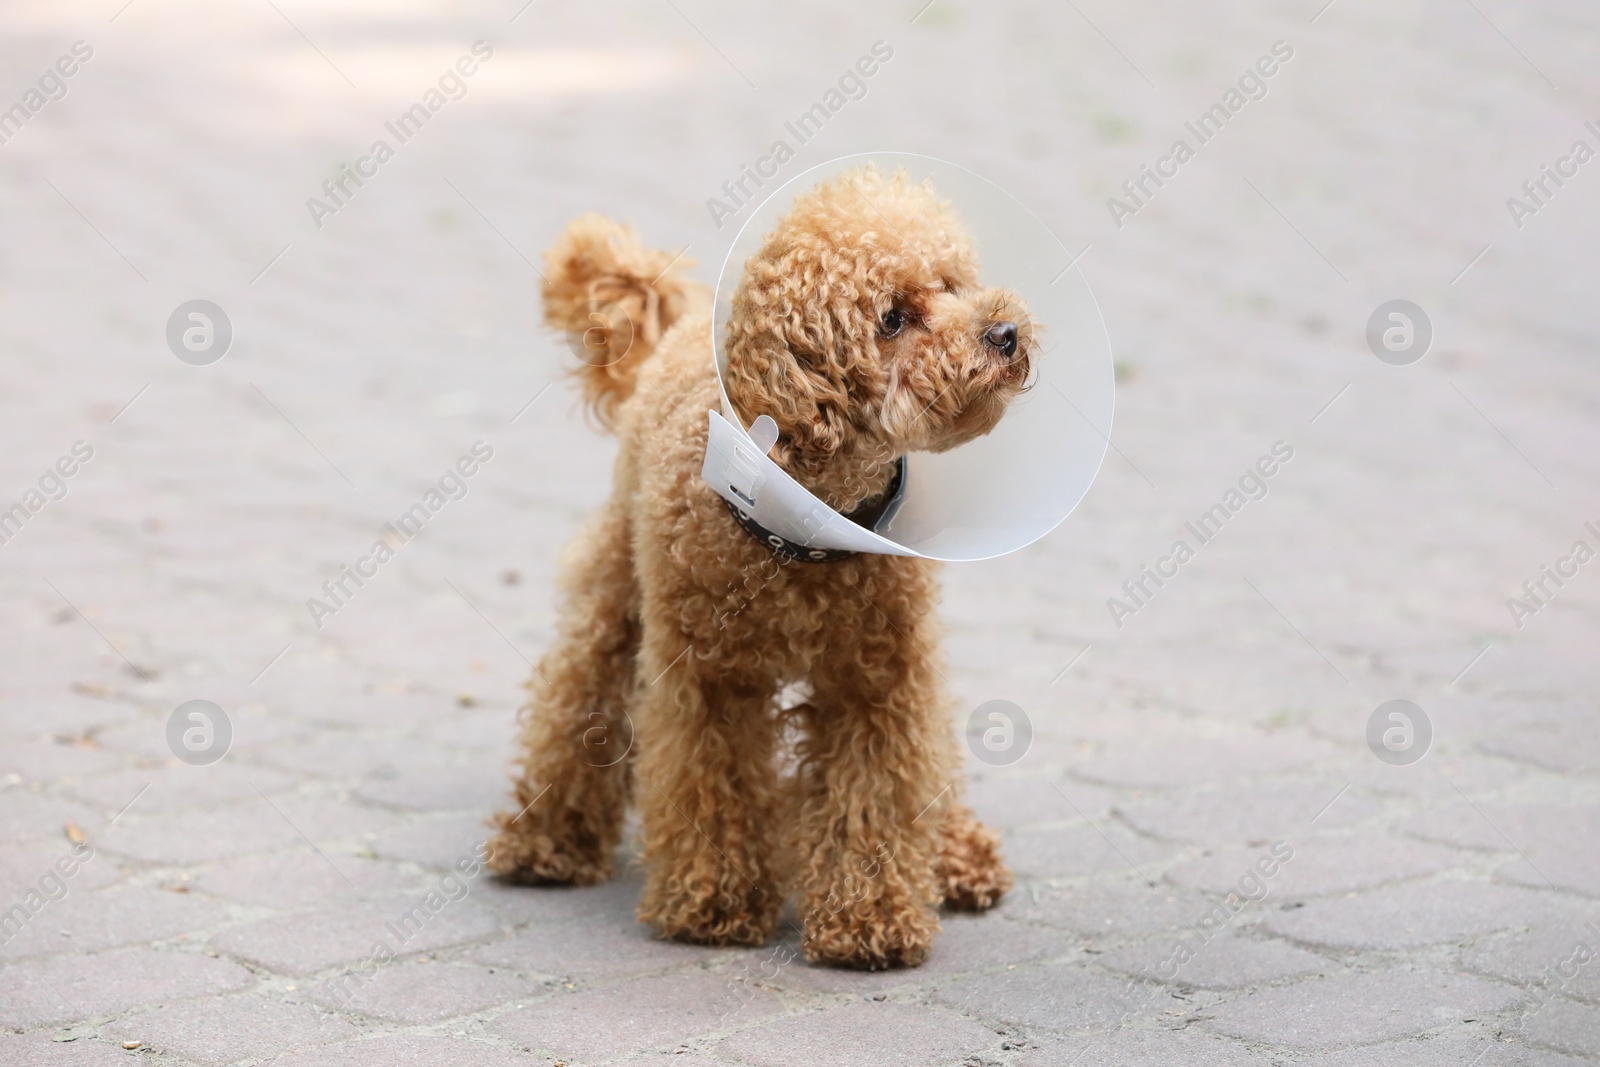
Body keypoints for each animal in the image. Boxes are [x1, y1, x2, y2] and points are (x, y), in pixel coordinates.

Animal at [486, 164, 1024, 966]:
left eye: (953, 283)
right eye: (892, 319)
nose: (1005, 332)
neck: (805, 534)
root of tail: (674, 334)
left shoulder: (880, 682)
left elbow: (879, 791)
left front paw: (869, 918)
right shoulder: (710, 680)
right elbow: (715, 785)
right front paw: (714, 900)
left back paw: (959, 856)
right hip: (617, 589)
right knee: (576, 694)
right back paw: (545, 841)